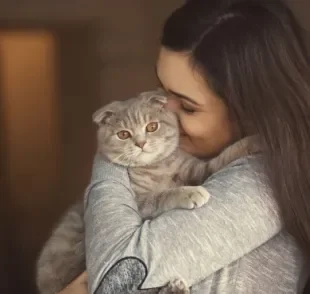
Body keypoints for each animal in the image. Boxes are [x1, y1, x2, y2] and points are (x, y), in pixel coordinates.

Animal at [36, 89, 260, 294]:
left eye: (152, 127)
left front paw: (252, 141)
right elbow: (162, 196)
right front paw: (190, 192)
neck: (156, 168)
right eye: (124, 134)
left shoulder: (197, 169)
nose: (141, 143)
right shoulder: (139, 203)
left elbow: (220, 160)